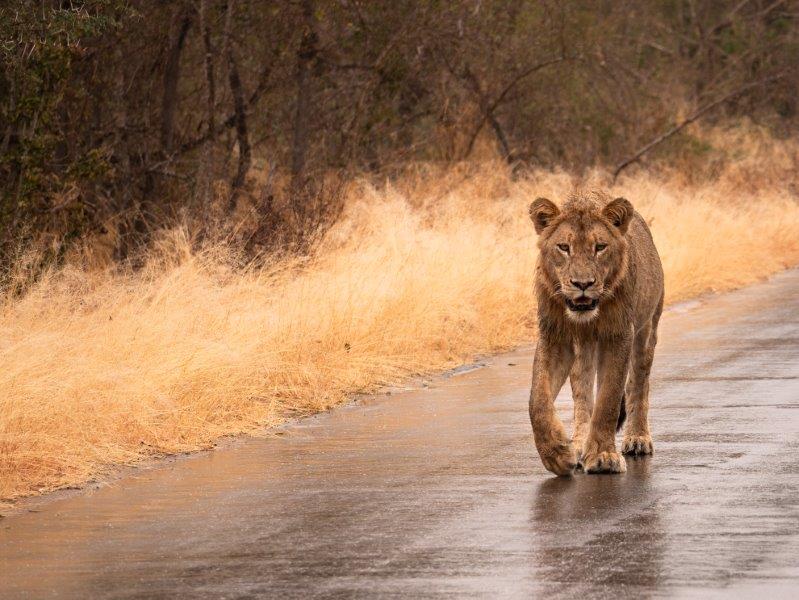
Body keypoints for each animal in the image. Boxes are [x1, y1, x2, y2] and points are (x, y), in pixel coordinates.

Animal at [528, 190, 664, 476]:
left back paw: (637, 438)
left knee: (639, 384)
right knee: (582, 397)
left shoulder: (619, 335)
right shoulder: (555, 337)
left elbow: (609, 399)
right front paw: (556, 453)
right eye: (564, 247)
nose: (583, 284)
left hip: (647, 330)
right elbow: (538, 400)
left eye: (600, 247)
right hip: (583, 351)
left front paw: (603, 456)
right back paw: (579, 443)